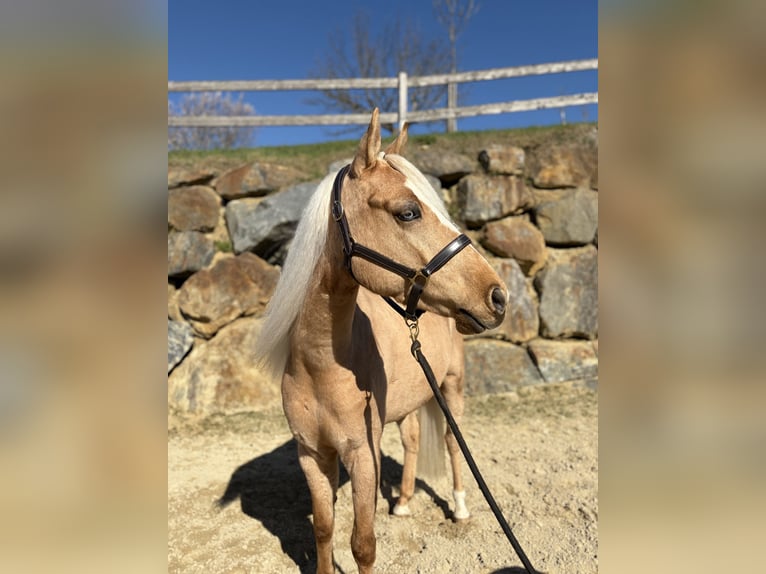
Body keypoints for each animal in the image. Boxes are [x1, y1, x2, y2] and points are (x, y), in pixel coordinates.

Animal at [255, 108, 507, 574]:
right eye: (408, 212)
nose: (498, 296)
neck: (321, 365)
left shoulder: (362, 455)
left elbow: (362, 543)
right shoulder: (312, 454)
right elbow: (323, 528)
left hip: (452, 388)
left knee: (452, 443)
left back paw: (461, 507)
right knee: (412, 440)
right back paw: (404, 503)